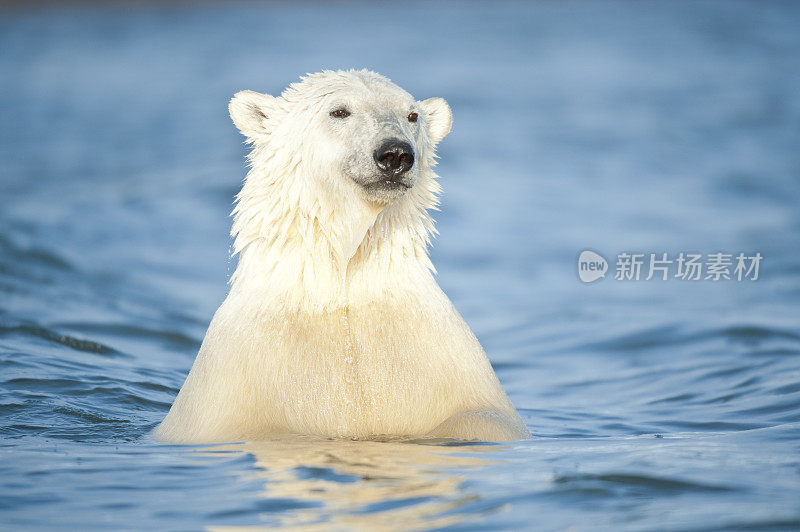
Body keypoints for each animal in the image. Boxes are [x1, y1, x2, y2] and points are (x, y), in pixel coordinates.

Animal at [156, 70, 532, 444]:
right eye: (339, 111)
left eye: (412, 116)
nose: (395, 154)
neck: (340, 289)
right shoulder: (241, 378)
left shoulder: (437, 359)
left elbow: (478, 416)